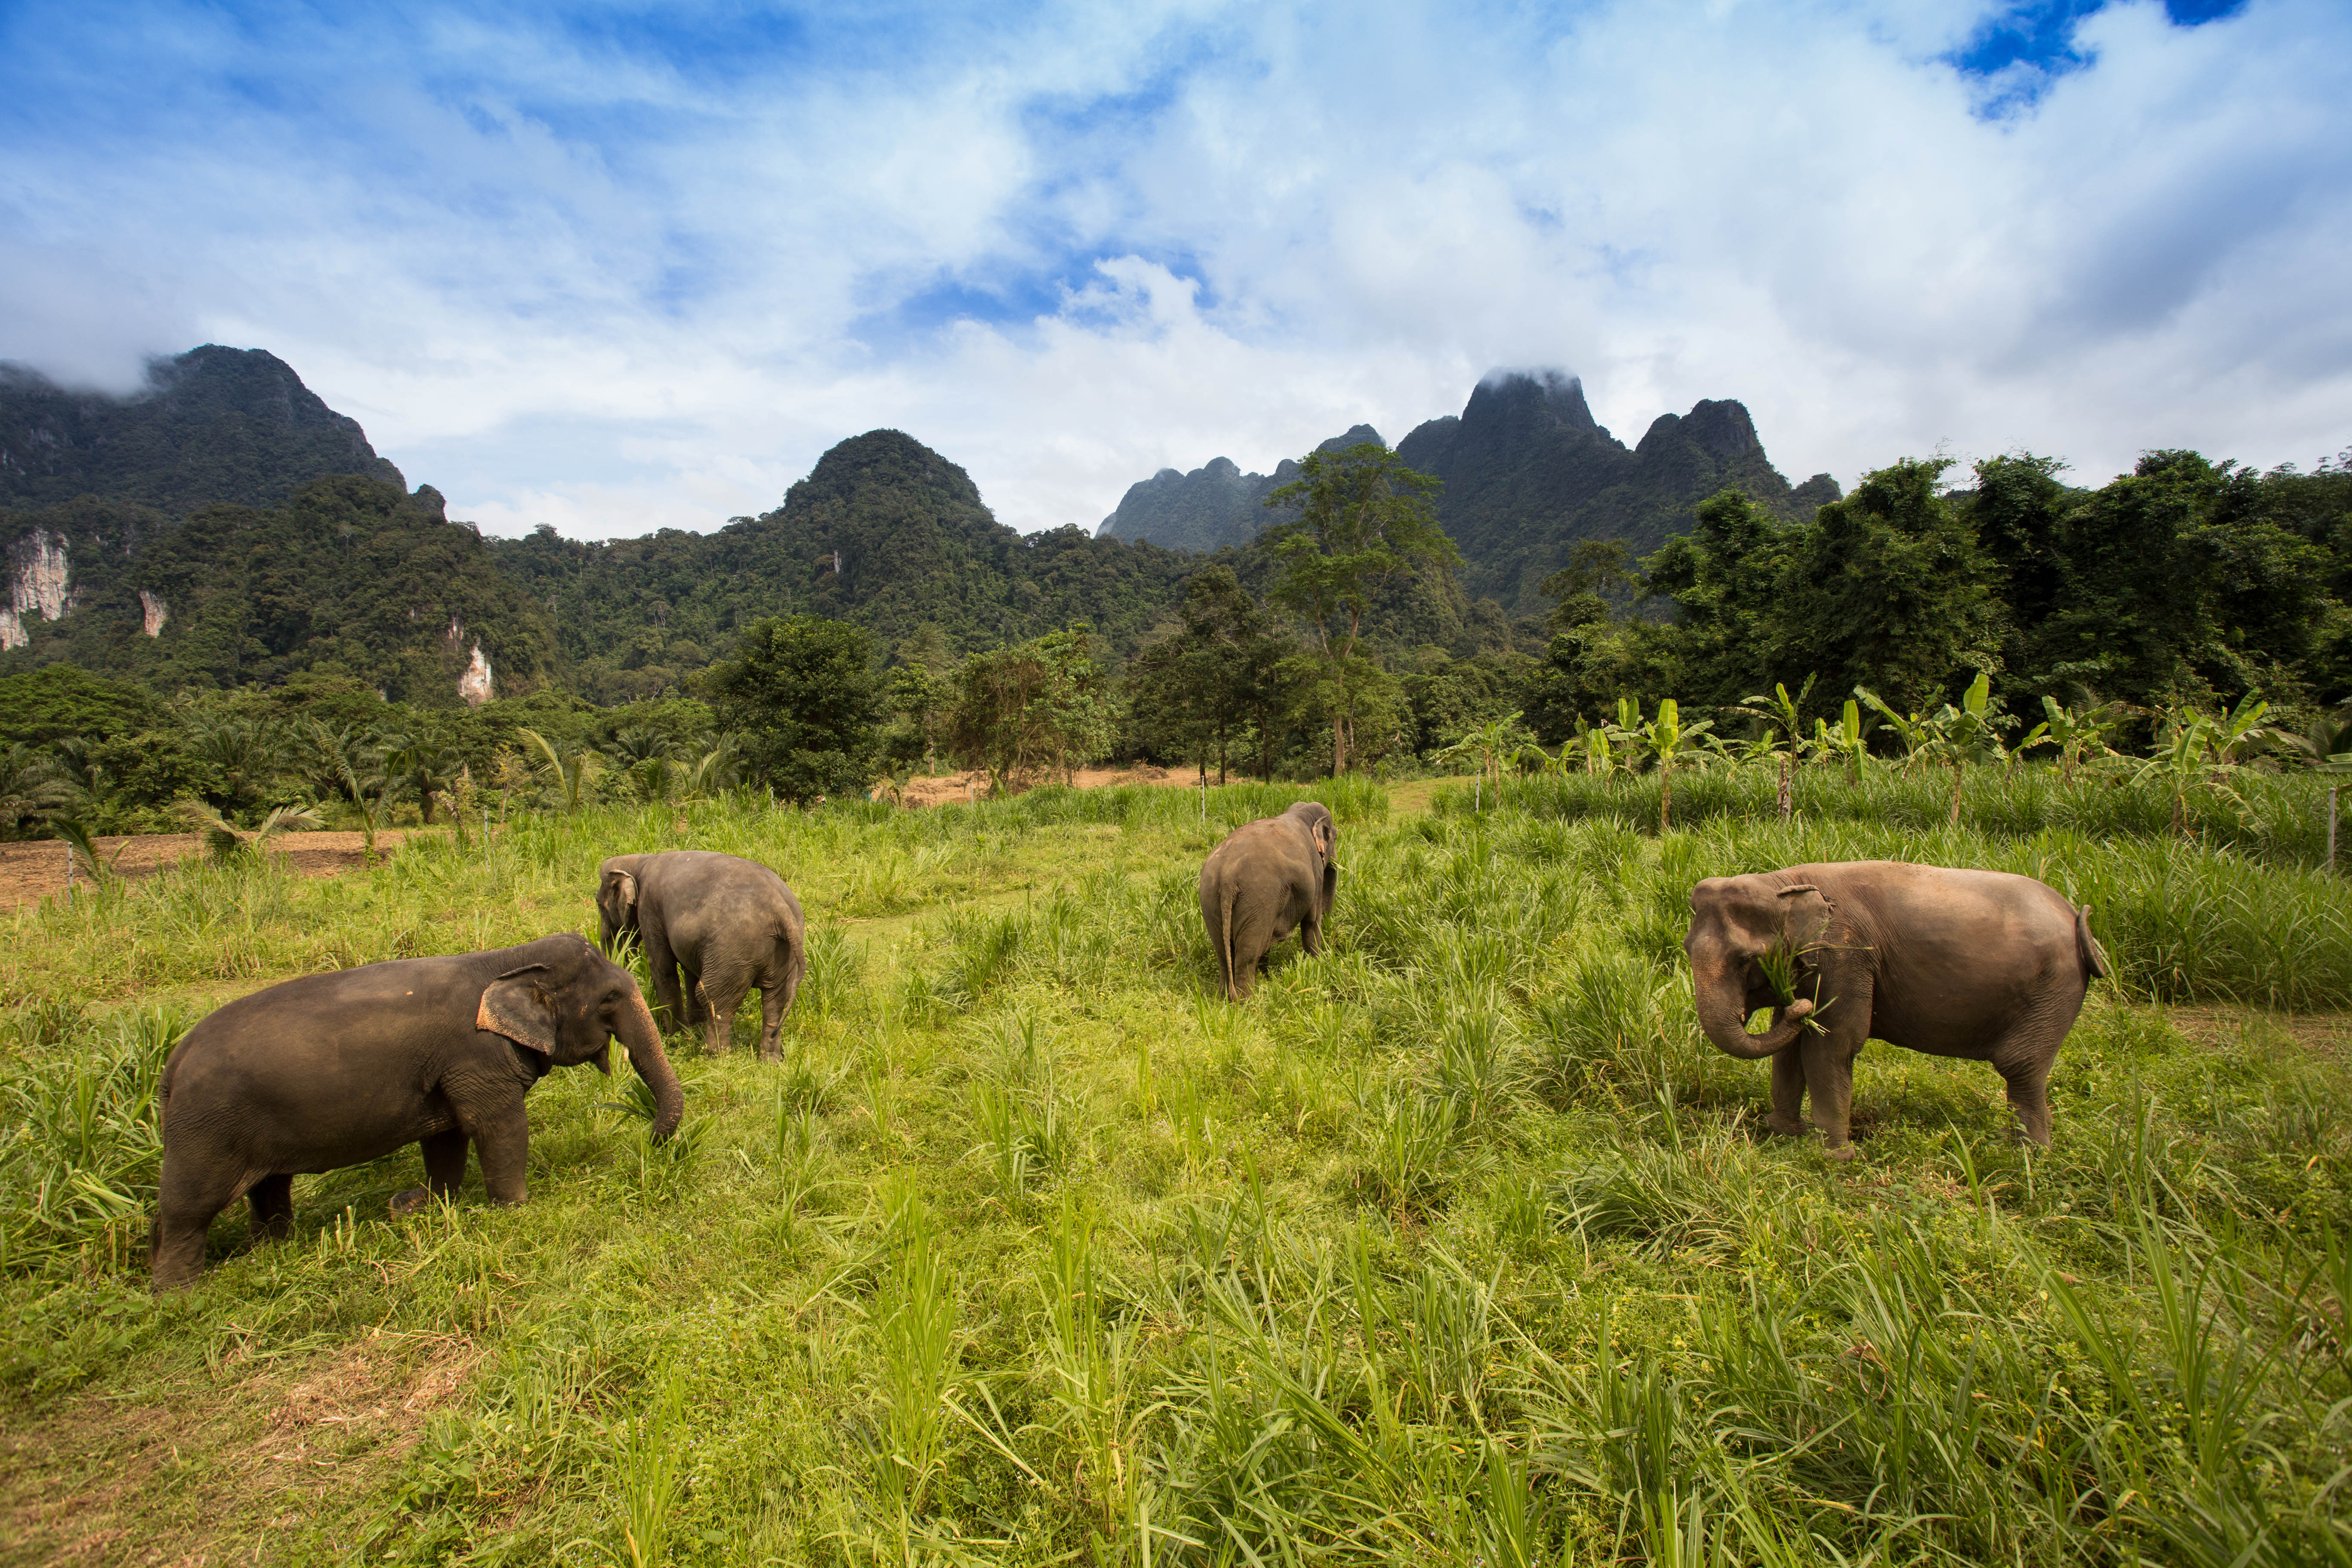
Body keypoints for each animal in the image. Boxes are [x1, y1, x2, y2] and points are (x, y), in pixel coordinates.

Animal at [150, 933, 682, 1290]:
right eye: (609, 998)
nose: (650, 1137)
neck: (506, 960)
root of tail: (171, 1065)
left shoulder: (447, 1070)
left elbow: (447, 1136)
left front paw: (426, 1205)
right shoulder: (475, 1058)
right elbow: (497, 1125)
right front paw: (516, 1210)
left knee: (268, 1188)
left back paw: (271, 1252)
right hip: (204, 1130)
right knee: (186, 1209)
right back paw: (179, 1294)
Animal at [596, 850, 807, 1059]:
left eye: (599, 904)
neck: (641, 861)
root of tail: (780, 908)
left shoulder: (649, 908)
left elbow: (663, 968)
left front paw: (677, 1035)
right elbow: (689, 969)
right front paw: (694, 1026)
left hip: (731, 954)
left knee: (713, 996)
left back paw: (714, 1055)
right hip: (783, 953)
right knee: (776, 1000)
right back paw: (771, 1060)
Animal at [1199, 802, 1338, 1001]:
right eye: (1336, 836)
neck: (1301, 812)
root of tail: (1227, 877)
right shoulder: (1316, 873)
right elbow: (1312, 922)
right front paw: (1319, 963)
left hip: (1210, 900)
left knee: (1223, 951)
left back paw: (1225, 998)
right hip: (1258, 901)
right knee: (1248, 954)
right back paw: (1247, 1000)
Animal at [1685, 861, 2106, 1155]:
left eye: (1747, 960)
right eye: (1687, 949)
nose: (1798, 1006)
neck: (1783, 882)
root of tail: (2076, 918)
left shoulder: (1847, 957)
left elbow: (1833, 1045)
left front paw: (1832, 1157)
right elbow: (1789, 1050)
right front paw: (1782, 1132)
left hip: (2053, 990)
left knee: (2022, 1066)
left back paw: (2028, 1159)